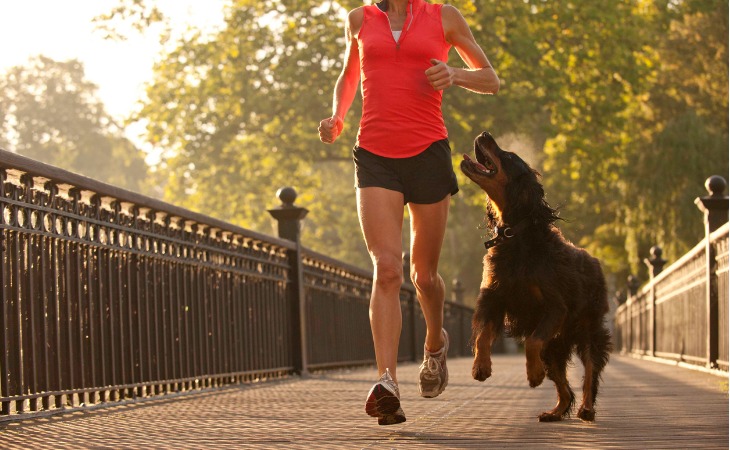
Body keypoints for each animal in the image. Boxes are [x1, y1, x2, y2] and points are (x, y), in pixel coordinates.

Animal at [460, 131, 608, 422]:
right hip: (556, 347)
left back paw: (586, 408)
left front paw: (534, 374)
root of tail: (595, 261)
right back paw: (555, 411)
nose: (484, 134)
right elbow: (483, 335)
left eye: (508, 156)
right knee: (565, 386)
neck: (515, 235)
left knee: (589, 373)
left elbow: (532, 341)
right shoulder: (494, 298)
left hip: (588, 331)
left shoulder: (554, 307)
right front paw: (480, 367)